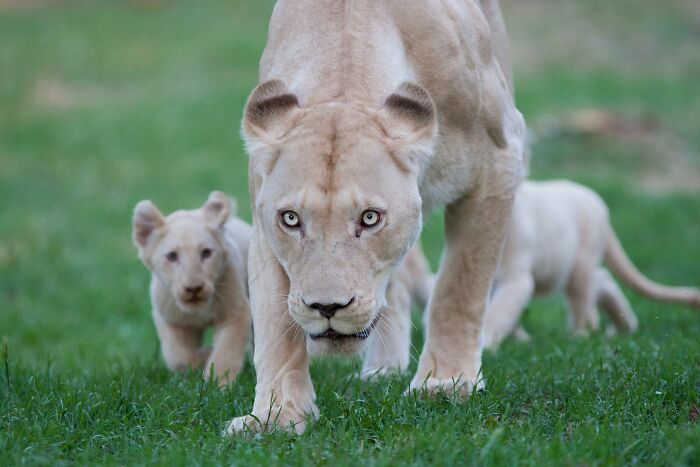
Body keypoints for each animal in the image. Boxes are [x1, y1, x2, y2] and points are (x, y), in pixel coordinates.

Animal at [132, 191, 252, 385]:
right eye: (172, 256)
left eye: (206, 252)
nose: (194, 288)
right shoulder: (170, 319)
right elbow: (178, 356)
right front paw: (205, 355)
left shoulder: (236, 312)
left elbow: (226, 349)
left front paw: (218, 382)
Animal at [228, 0, 525, 434]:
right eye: (291, 219)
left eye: (369, 218)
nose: (327, 308)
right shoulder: (261, 211)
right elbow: (275, 321)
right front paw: (276, 416)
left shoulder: (498, 159)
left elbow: (460, 286)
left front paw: (446, 384)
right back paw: (384, 369)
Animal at [482, 180, 700, 349]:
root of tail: (601, 207)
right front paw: (519, 339)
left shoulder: (515, 276)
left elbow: (498, 311)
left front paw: (488, 345)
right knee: (603, 280)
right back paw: (623, 328)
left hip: (580, 264)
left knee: (587, 307)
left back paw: (580, 337)